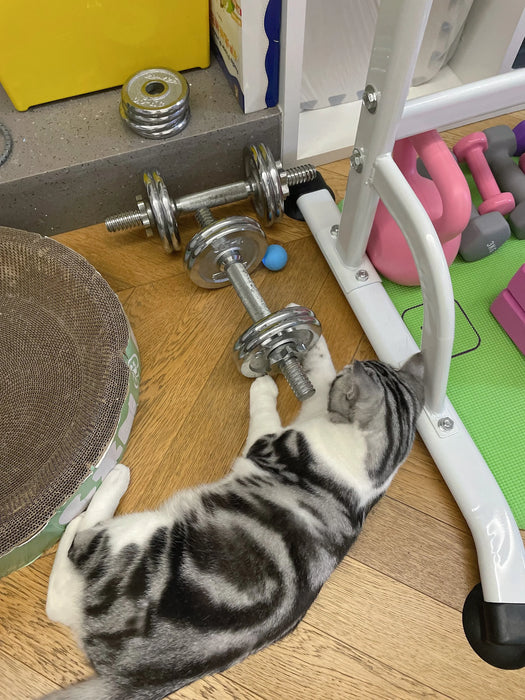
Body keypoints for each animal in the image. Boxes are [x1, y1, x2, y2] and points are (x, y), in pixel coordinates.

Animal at [43, 336, 424, 696]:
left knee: (75, 559)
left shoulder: (270, 441)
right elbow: (318, 381)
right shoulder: (310, 419)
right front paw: (313, 346)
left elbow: (269, 411)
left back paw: (95, 496)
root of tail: (128, 679)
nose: (351, 363)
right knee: (60, 604)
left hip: (134, 539)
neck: (378, 465)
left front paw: (265, 386)